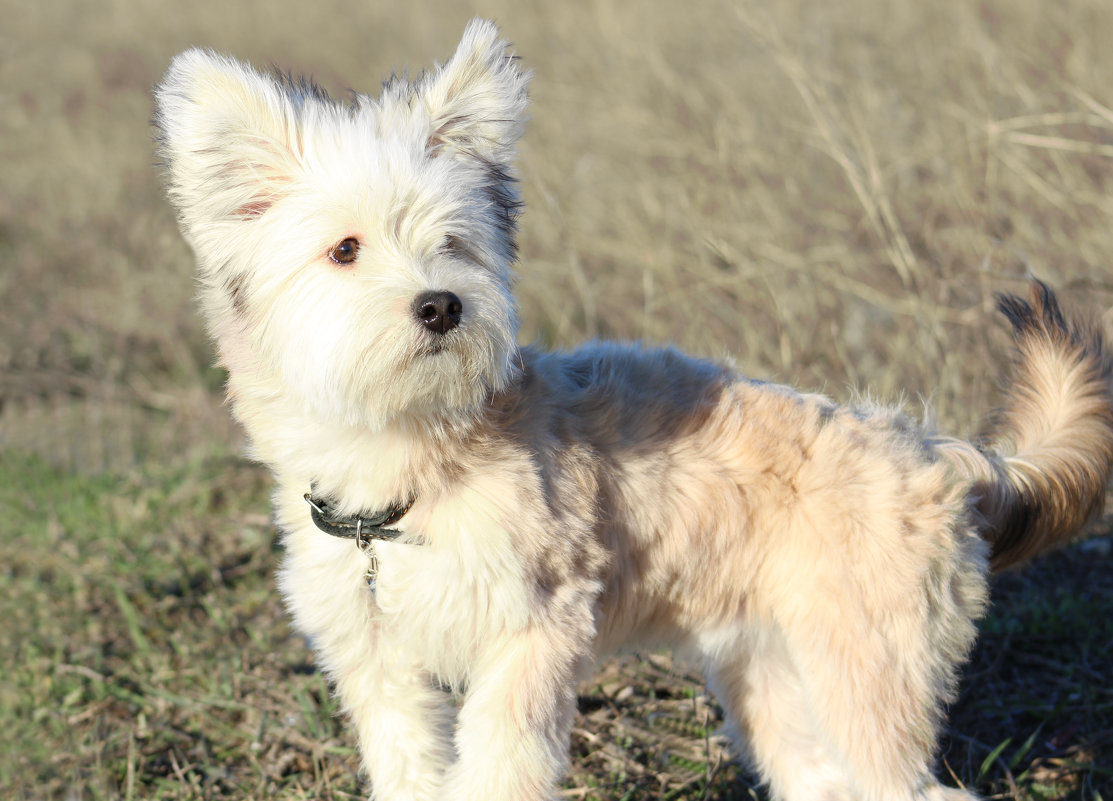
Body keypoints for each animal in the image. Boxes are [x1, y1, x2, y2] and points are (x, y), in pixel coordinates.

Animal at [154, 18, 1113, 800]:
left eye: (453, 241)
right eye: (345, 249)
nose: (440, 305)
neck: (409, 470)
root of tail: (937, 455)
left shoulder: (528, 642)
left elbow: (496, 769)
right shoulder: (382, 669)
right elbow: (410, 764)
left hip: (865, 683)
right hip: (779, 689)